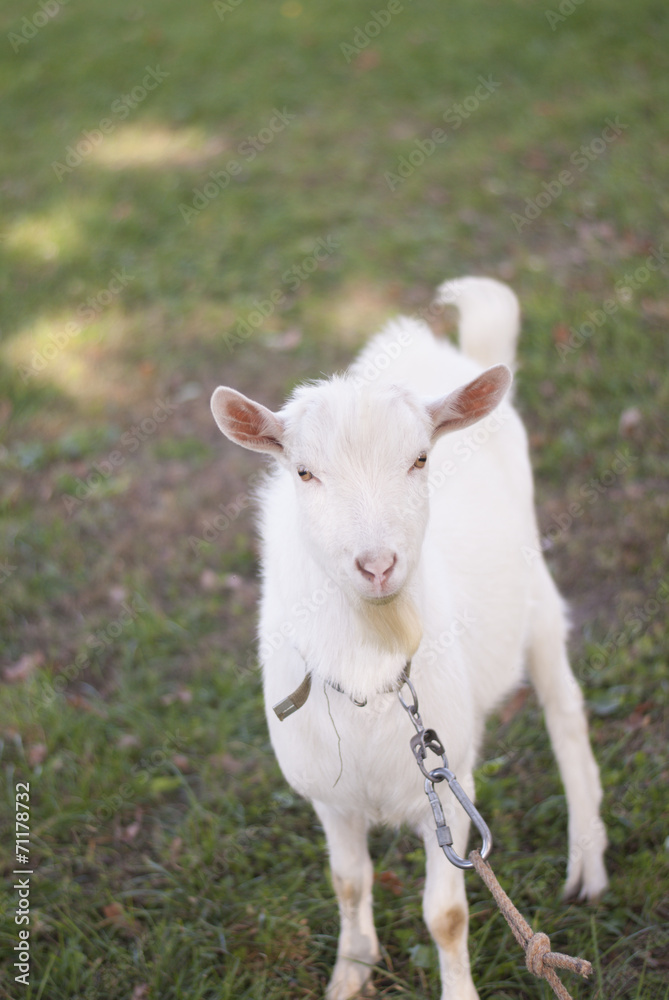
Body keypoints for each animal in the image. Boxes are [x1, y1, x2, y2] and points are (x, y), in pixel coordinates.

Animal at [210, 276, 608, 1000]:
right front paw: (351, 971)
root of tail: (434, 348)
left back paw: (587, 862)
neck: (377, 662)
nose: (377, 565)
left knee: (565, 710)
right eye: (303, 472)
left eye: (421, 458)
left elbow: (446, 915)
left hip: (535, 593)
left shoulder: (447, 793)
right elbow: (347, 882)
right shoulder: (329, 796)